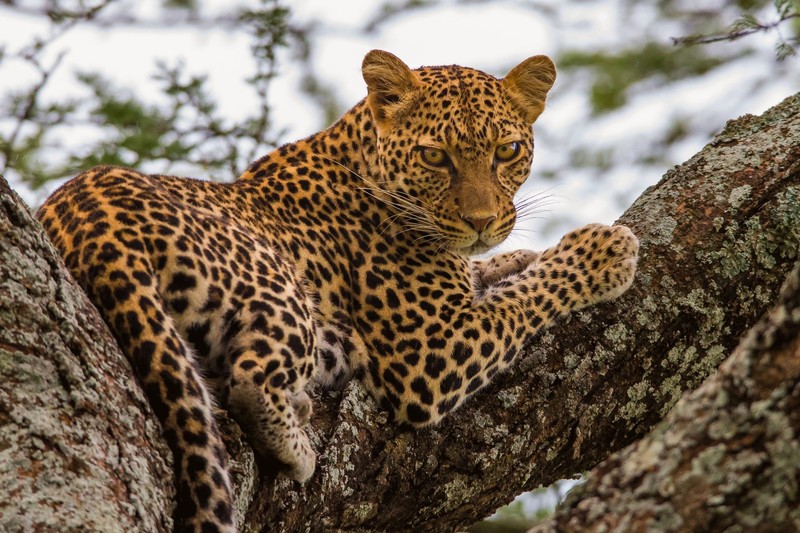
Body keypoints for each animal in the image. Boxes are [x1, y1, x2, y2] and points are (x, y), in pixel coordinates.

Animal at [37, 49, 638, 532]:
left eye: (507, 150)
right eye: (434, 156)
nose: (482, 222)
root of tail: (89, 220)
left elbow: (494, 276)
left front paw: (512, 257)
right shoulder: (432, 348)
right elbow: (527, 296)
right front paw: (602, 250)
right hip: (279, 286)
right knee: (249, 380)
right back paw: (297, 442)